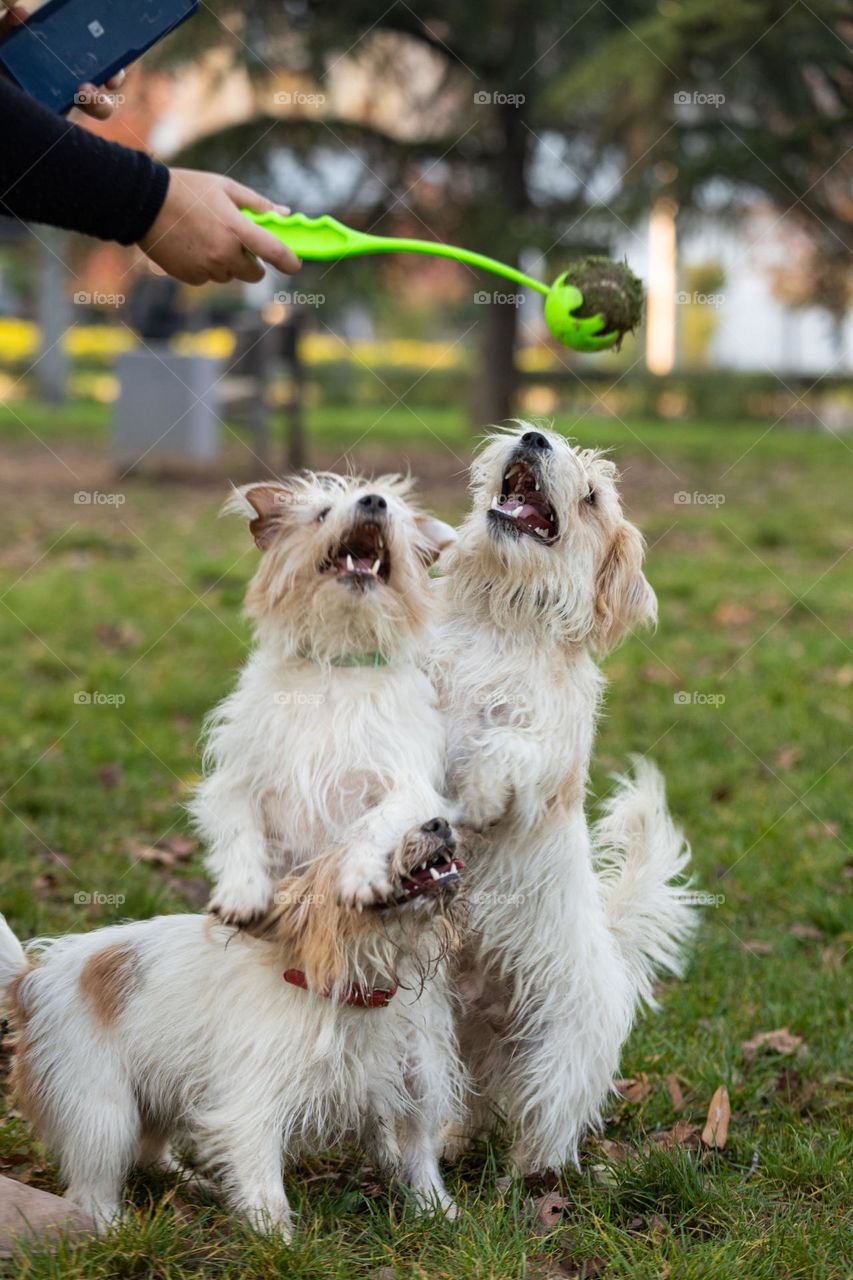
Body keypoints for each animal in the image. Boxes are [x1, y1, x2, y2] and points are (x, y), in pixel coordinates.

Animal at [0, 814, 466, 1233]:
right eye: (372, 834)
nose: (439, 823)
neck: (353, 994)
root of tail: (31, 979)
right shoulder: (253, 1109)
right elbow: (266, 1190)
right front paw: (279, 1247)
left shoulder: (412, 1083)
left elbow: (419, 1157)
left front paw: (437, 1211)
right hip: (105, 1114)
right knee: (91, 1190)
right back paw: (116, 1230)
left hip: (160, 1090)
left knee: (149, 1154)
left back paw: (193, 1182)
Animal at [190, 471, 458, 921]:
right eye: (323, 513)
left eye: (393, 509)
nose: (374, 502)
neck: (336, 665)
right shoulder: (234, 783)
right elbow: (240, 832)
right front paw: (242, 891)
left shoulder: (408, 785)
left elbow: (371, 824)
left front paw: (360, 877)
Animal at [427, 419, 696, 1172]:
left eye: (595, 494)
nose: (533, 435)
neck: (500, 615)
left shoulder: (542, 745)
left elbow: (504, 749)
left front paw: (477, 796)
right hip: (442, 1042)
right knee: (468, 1107)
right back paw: (450, 1141)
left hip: (558, 1061)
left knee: (543, 1128)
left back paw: (531, 1177)